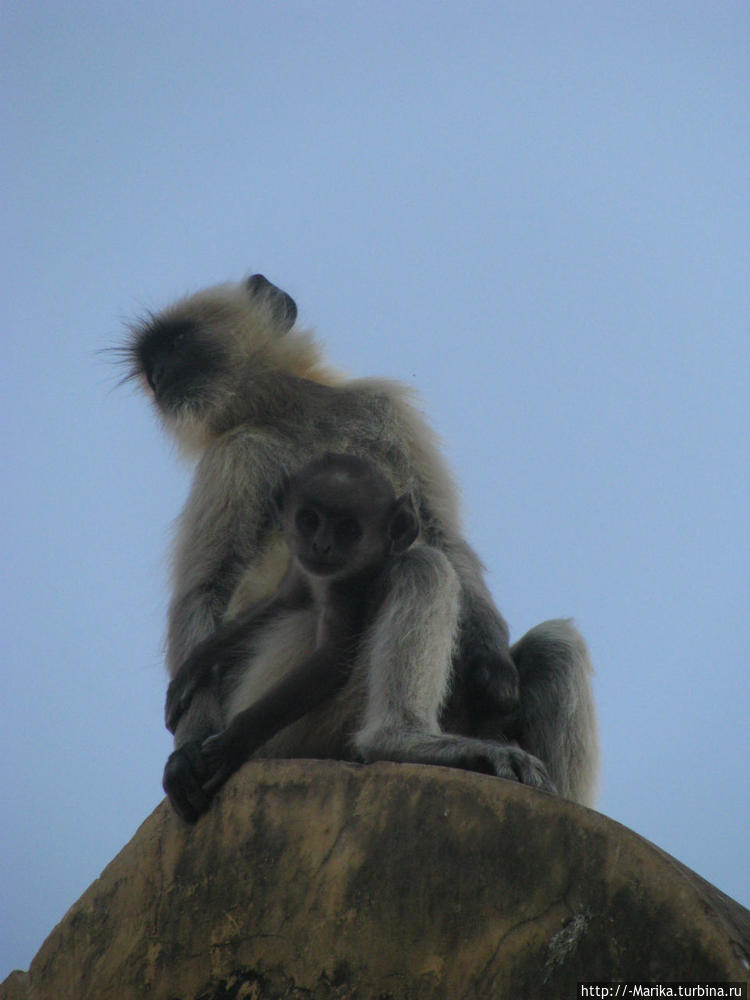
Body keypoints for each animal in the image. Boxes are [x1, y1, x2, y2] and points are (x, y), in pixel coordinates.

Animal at [164, 454, 420, 804]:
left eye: (348, 529)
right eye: (309, 519)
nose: (321, 545)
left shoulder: (344, 590)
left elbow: (330, 663)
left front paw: (237, 740)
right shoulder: (302, 570)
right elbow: (282, 602)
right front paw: (194, 666)